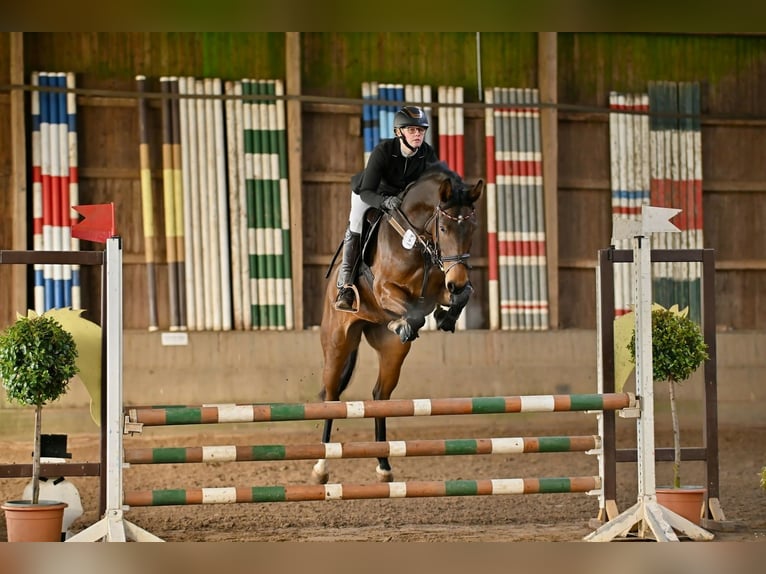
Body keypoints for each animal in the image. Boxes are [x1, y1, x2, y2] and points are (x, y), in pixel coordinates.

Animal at [312, 162, 486, 486]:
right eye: (444, 228)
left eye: (473, 228)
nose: (456, 281)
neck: (418, 240)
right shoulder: (384, 289)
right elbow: (413, 311)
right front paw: (405, 324)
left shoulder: (440, 286)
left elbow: (461, 296)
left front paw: (445, 317)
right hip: (337, 341)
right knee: (331, 396)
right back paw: (321, 466)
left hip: (391, 352)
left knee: (381, 395)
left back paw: (384, 465)